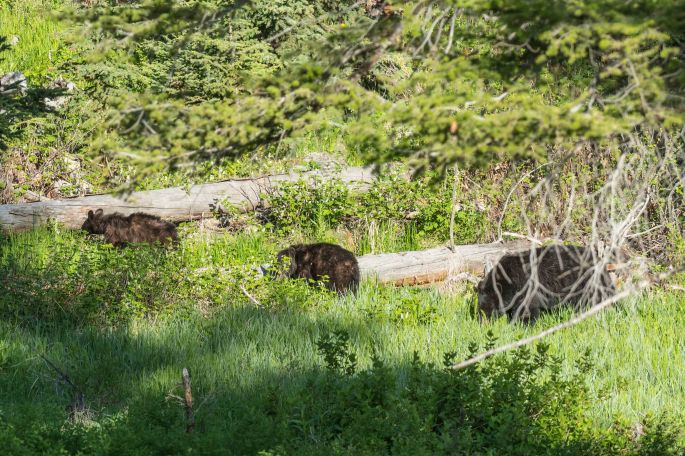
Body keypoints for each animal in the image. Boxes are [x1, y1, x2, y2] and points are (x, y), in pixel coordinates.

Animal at [476, 245, 616, 323]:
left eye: (486, 308)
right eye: (479, 308)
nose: (481, 322)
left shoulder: (526, 287)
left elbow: (527, 308)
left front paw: (523, 324)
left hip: (585, 282)